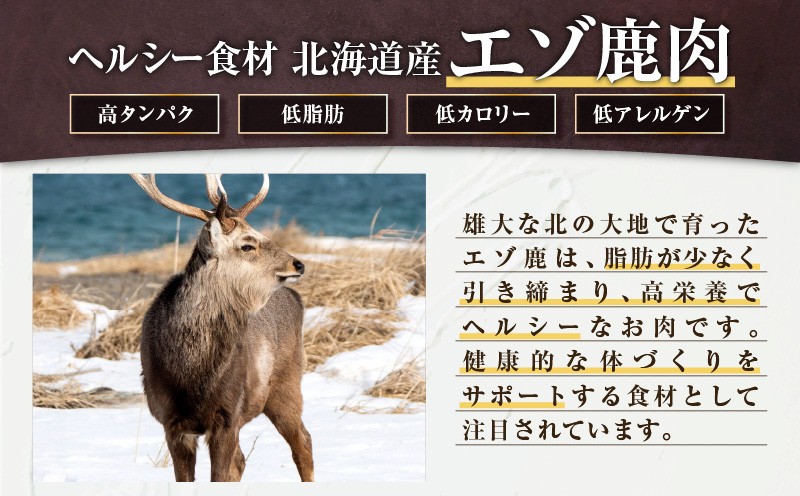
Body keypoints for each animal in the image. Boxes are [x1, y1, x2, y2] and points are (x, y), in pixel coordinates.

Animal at [130, 173, 313, 482]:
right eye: (247, 245)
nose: (298, 264)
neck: (191, 374)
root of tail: (295, 298)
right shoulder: (171, 420)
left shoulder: (227, 413)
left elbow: (220, 475)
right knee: (242, 461)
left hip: (287, 385)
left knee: (303, 443)